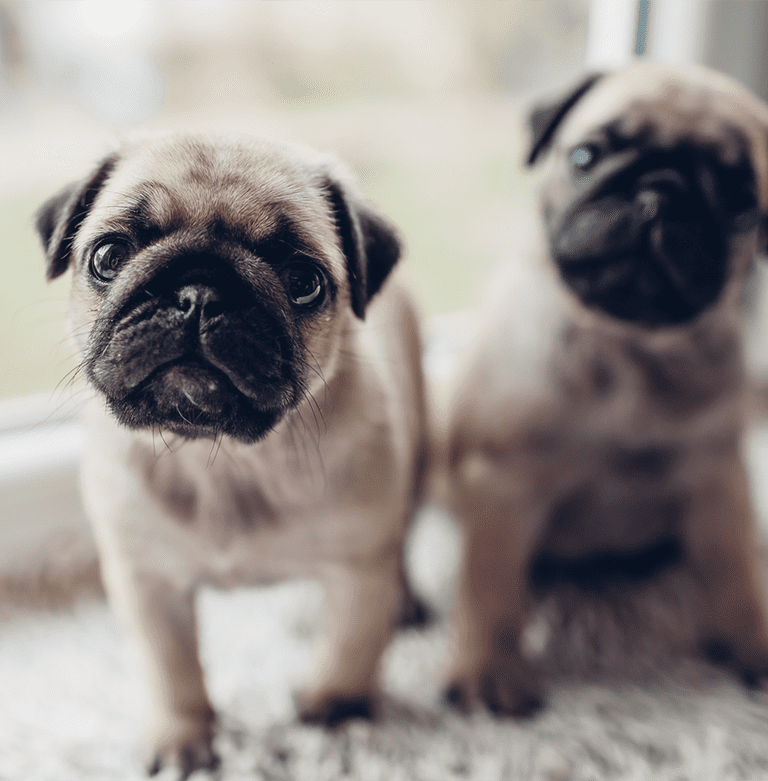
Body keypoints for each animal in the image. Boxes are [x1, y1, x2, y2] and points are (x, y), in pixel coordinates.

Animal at [36, 134, 428, 772]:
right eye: (108, 256)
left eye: (303, 280)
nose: (198, 295)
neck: (227, 463)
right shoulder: (148, 583)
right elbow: (172, 669)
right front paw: (182, 740)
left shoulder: (359, 569)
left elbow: (351, 646)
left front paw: (335, 714)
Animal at [444, 64, 768, 716]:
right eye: (585, 156)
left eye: (743, 206)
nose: (659, 194)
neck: (630, 349)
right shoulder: (501, 486)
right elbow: (491, 589)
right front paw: (490, 670)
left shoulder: (718, 481)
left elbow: (737, 575)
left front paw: (755, 640)